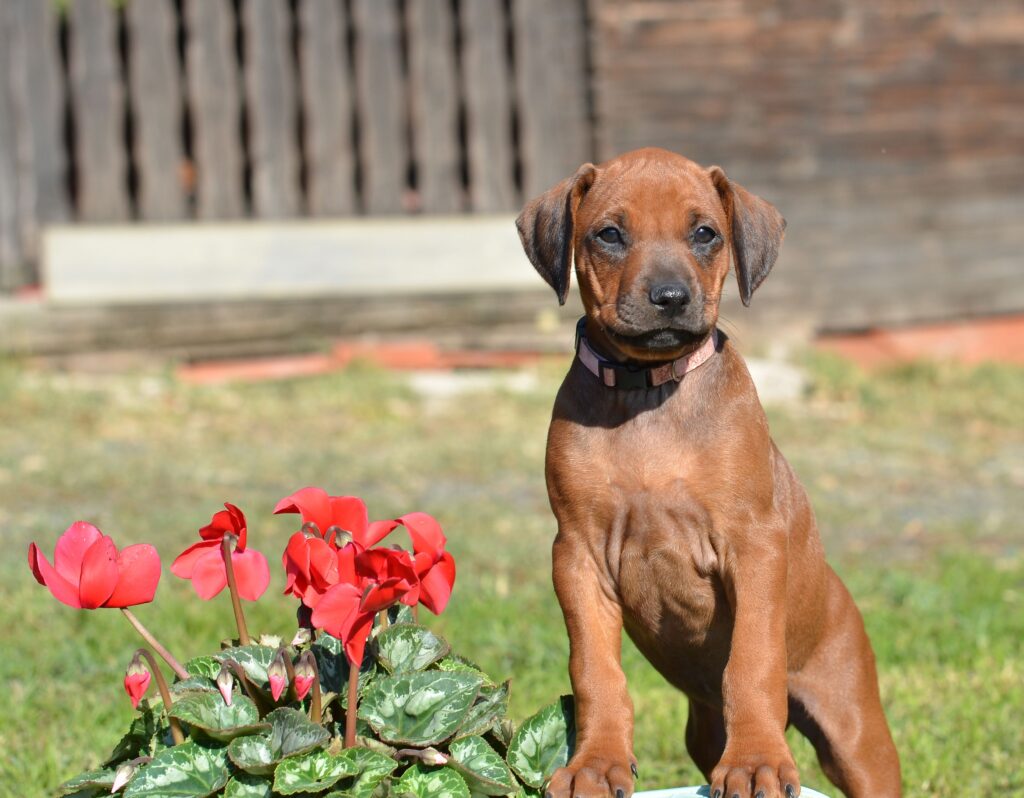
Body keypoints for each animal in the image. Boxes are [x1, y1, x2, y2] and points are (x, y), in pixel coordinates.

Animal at [516, 148, 901, 798]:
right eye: (609, 234)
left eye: (705, 234)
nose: (671, 296)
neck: (648, 389)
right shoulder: (577, 555)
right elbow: (595, 670)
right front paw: (597, 762)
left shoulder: (754, 545)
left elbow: (752, 661)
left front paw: (757, 762)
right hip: (702, 729)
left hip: (856, 732)